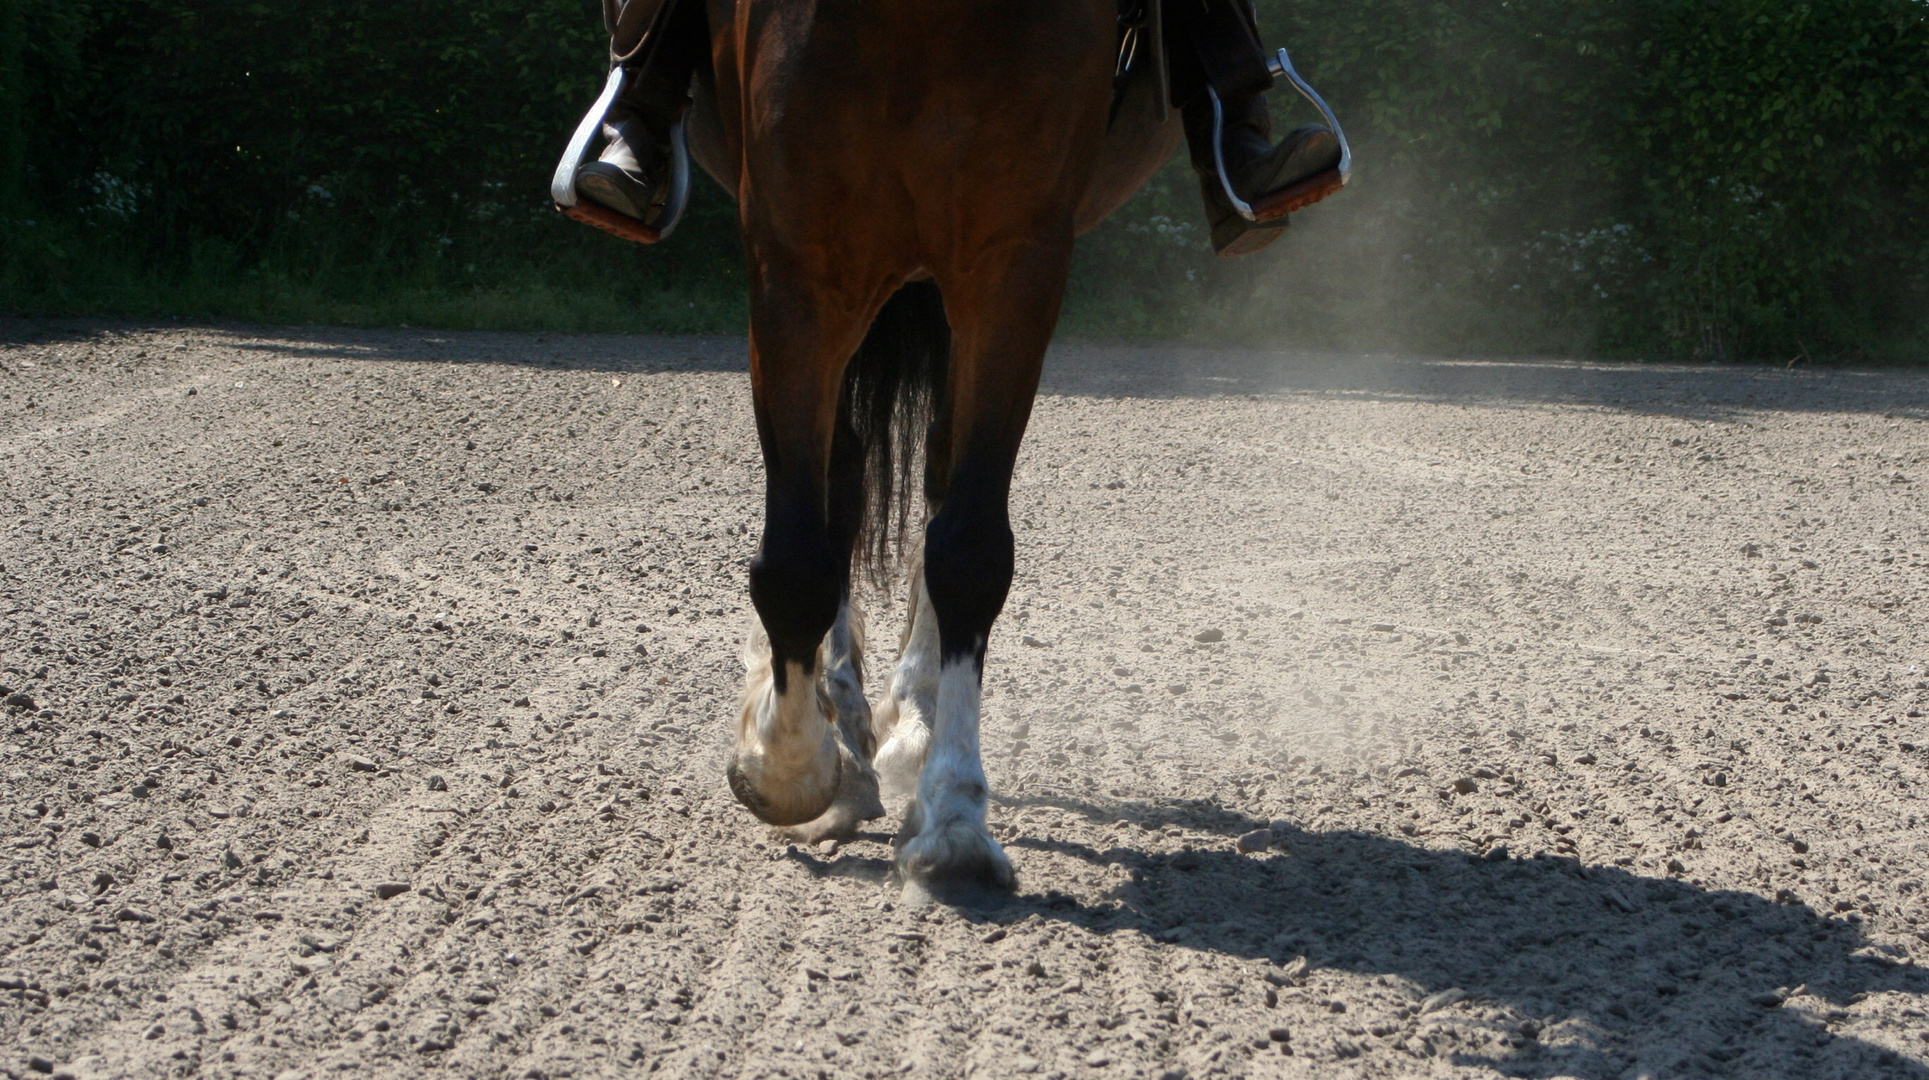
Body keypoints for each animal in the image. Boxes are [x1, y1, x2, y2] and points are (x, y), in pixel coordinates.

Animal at [682, 0, 1188, 898]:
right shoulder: (797, 264)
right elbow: (797, 559)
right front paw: (787, 766)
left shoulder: (1013, 261)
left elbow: (969, 550)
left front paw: (953, 814)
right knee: (841, 483)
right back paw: (845, 737)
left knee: (935, 474)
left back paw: (909, 724)